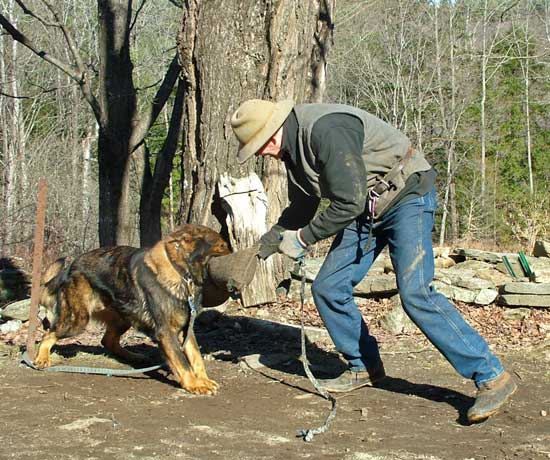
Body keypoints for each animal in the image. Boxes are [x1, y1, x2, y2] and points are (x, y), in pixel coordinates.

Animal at [36, 224, 231, 396]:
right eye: (222, 245)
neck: (181, 271)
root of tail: (70, 267)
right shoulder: (166, 332)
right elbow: (183, 362)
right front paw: (194, 384)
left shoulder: (187, 330)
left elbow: (196, 358)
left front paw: (203, 380)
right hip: (77, 321)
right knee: (48, 334)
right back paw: (42, 358)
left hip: (124, 318)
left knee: (107, 341)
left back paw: (134, 357)